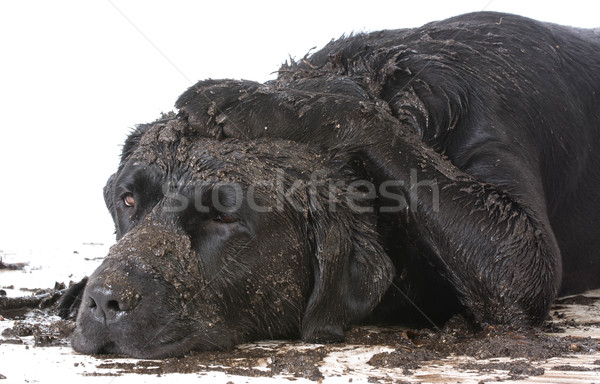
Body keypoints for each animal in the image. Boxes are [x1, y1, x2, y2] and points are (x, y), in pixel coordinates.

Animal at [59, 12, 600, 360]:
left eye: (223, 216)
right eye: (128, 200)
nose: (104, 300)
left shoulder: (521, 258)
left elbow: (351, 109)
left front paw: (256, 99)